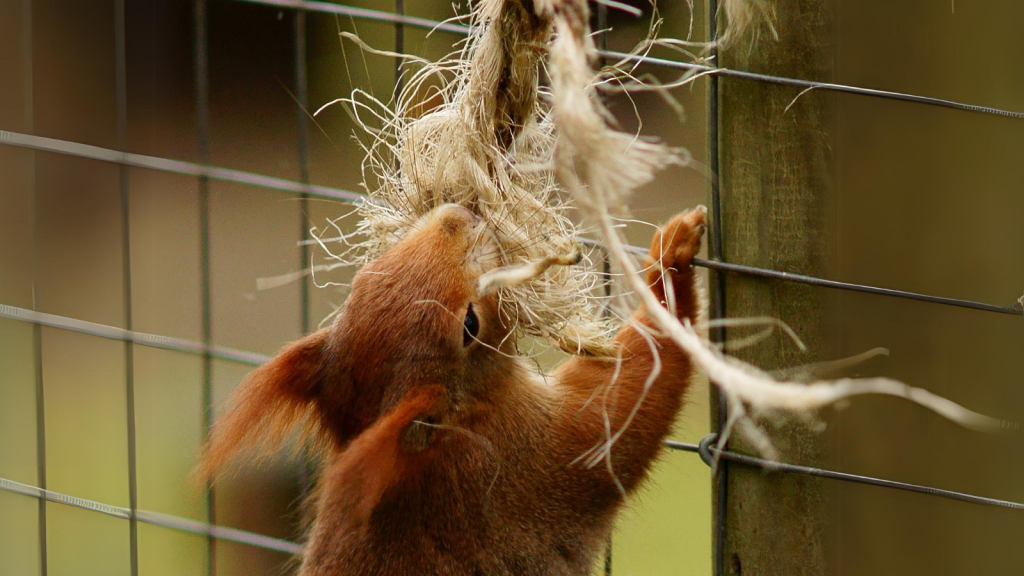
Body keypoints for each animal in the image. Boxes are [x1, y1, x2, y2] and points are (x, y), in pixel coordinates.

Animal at [203, 202, 708, 573]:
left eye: (363, 279)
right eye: (469, 325)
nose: (456, 216)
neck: (454, 432)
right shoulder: (539, 458)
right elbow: (634, 398)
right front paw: (671, 261)